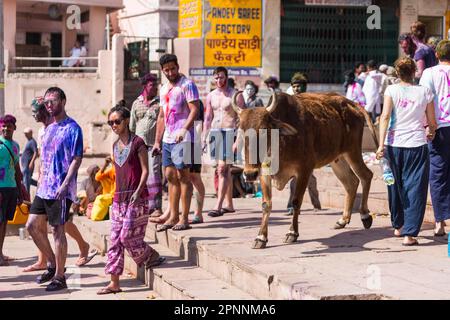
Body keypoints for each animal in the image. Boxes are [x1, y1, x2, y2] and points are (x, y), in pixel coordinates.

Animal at [234, 91, 378, 249]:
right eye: (241, 132)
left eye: (264, 130)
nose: (249, 174)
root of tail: (350, 103)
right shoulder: (264, 173)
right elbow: (266, 204)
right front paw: (261, 237)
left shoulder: (304, 170)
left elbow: (296, 201)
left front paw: (292, 233)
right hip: (338, 160)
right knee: (351, 182)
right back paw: (342, 220)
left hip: (352, 152)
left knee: (366, 175)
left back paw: (365, 215)